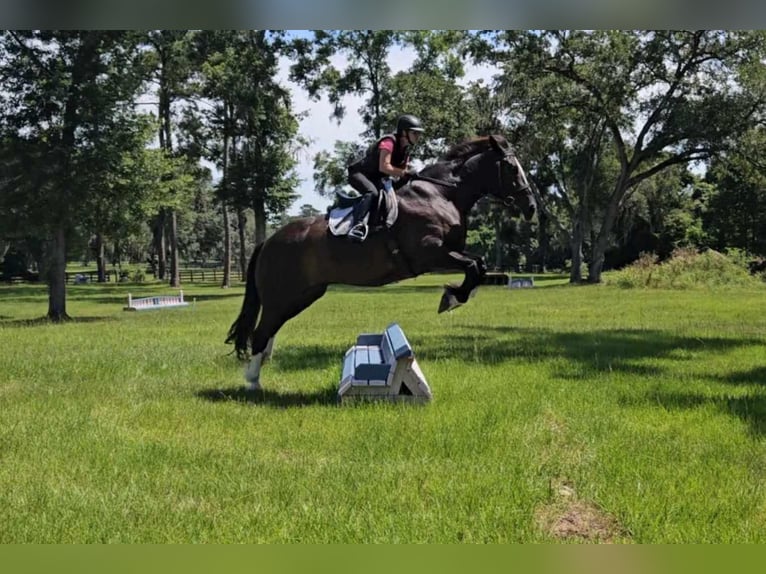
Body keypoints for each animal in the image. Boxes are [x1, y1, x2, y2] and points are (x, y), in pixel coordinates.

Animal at [226, 134, 536, 389]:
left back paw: (260, 370)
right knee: (261, 332)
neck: (442, 194)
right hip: (282, 296)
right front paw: (452, 298)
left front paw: (456, 295)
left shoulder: (448, 253)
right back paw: (253, 382)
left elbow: (479, 265)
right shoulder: (430, 253)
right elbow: (473, 267)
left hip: (302, 295)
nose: (531, 207)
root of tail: (269, 241)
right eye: (512, 168)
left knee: (270, 329)